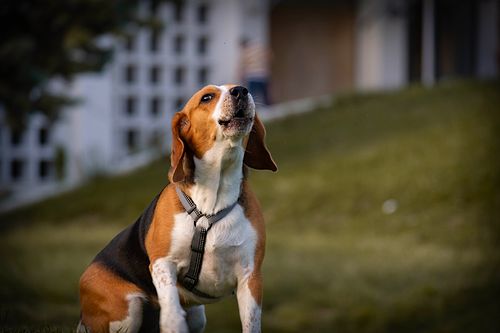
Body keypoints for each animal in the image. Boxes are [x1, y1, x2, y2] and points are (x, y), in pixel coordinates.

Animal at [80, 84, 280, 330]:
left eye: (244, 89)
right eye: (207, 97)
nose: (241, 91)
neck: (212, 200)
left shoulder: (250, 277)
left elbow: (251, 323)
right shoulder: (162, 264)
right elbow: (172, 315)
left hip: (196, 316)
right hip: (127, 310)